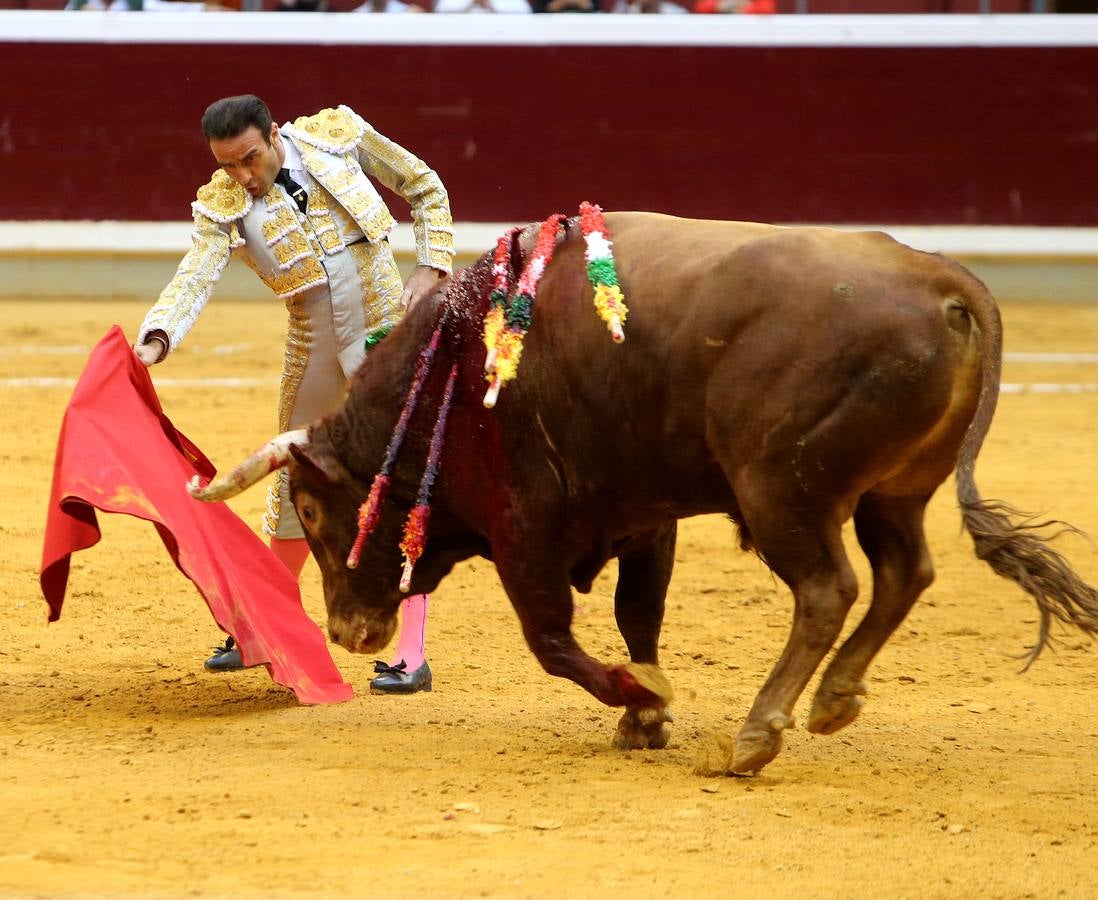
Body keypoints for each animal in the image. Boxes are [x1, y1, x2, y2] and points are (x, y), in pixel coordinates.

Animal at [191, 210, 1098, 772]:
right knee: (905, 573)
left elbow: (552, 640)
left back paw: (757, 734)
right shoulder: (645, 521)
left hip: (781, 490)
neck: (449, 374)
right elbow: (638, 618)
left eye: (312, 509)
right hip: (894, 494)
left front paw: (642, 697)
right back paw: (834, 701)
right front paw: (644, 716)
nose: (346, 632)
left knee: (826, 589)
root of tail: (943, 280)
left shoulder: (524, 527)